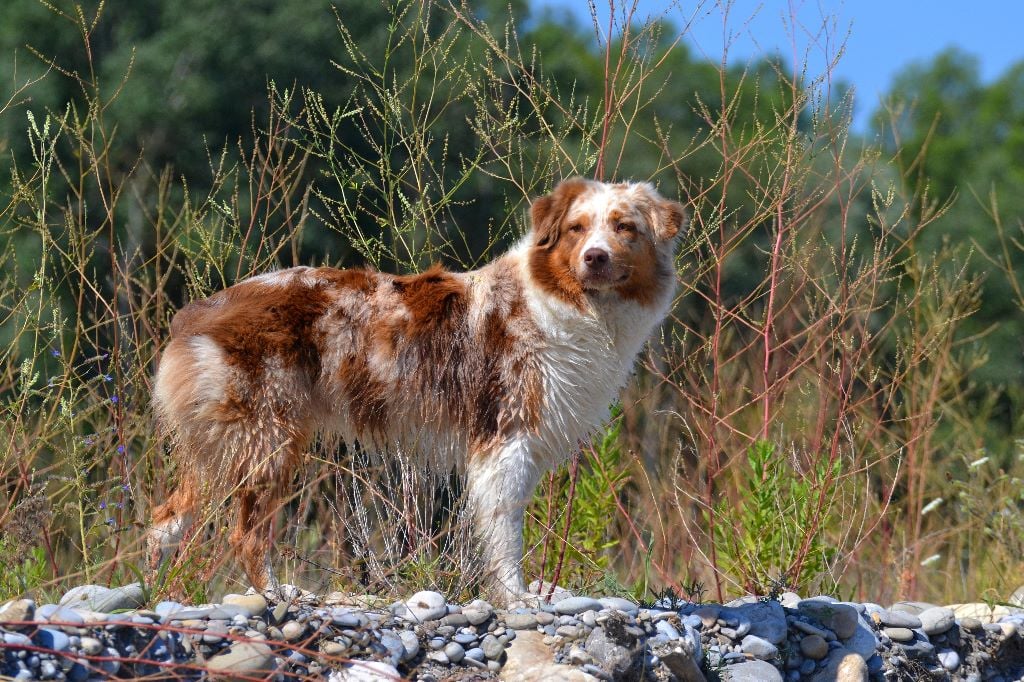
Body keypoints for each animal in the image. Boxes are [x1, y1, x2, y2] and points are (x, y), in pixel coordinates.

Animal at [146, 175, 688, 602]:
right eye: (576, 229)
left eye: (625, 228)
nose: (595, 258)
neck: (571, 305)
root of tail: (198, 310)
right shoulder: (505, 440)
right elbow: (505, 536)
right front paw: (517, 599)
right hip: (266, 442)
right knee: (244, 535)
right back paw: (278, 594)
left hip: (222, 447)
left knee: (164, 518)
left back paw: (156, 590)